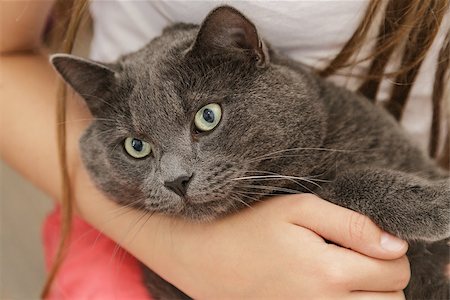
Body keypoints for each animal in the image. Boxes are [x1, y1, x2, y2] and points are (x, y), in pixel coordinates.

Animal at [51, 5, 448, 300]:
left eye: (207, 116)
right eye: (136, 146)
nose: (176, 180)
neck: (329, 149)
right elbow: (341, 186)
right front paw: (437, 203)